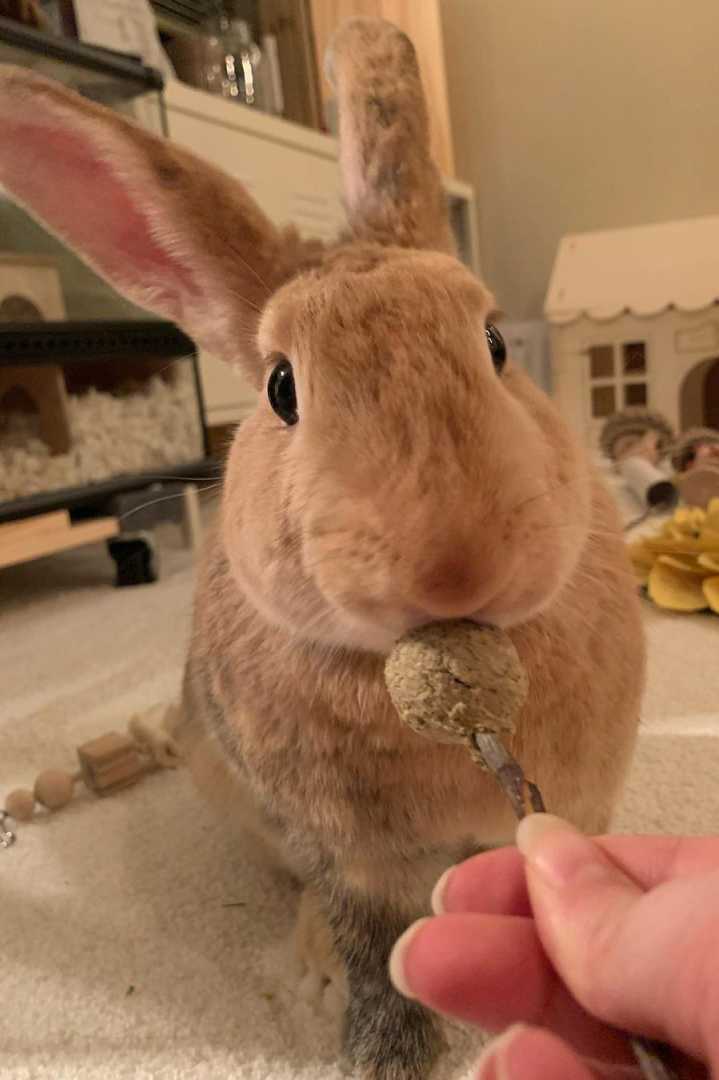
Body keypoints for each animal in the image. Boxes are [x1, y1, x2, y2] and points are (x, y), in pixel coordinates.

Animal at [0, 19, 639, 1080]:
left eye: (496, 343)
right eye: (281, 389)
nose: (451, 562)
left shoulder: (573, 805)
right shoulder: (352, 859)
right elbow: (376, 949)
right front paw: (382, 1051)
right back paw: (307, 968)